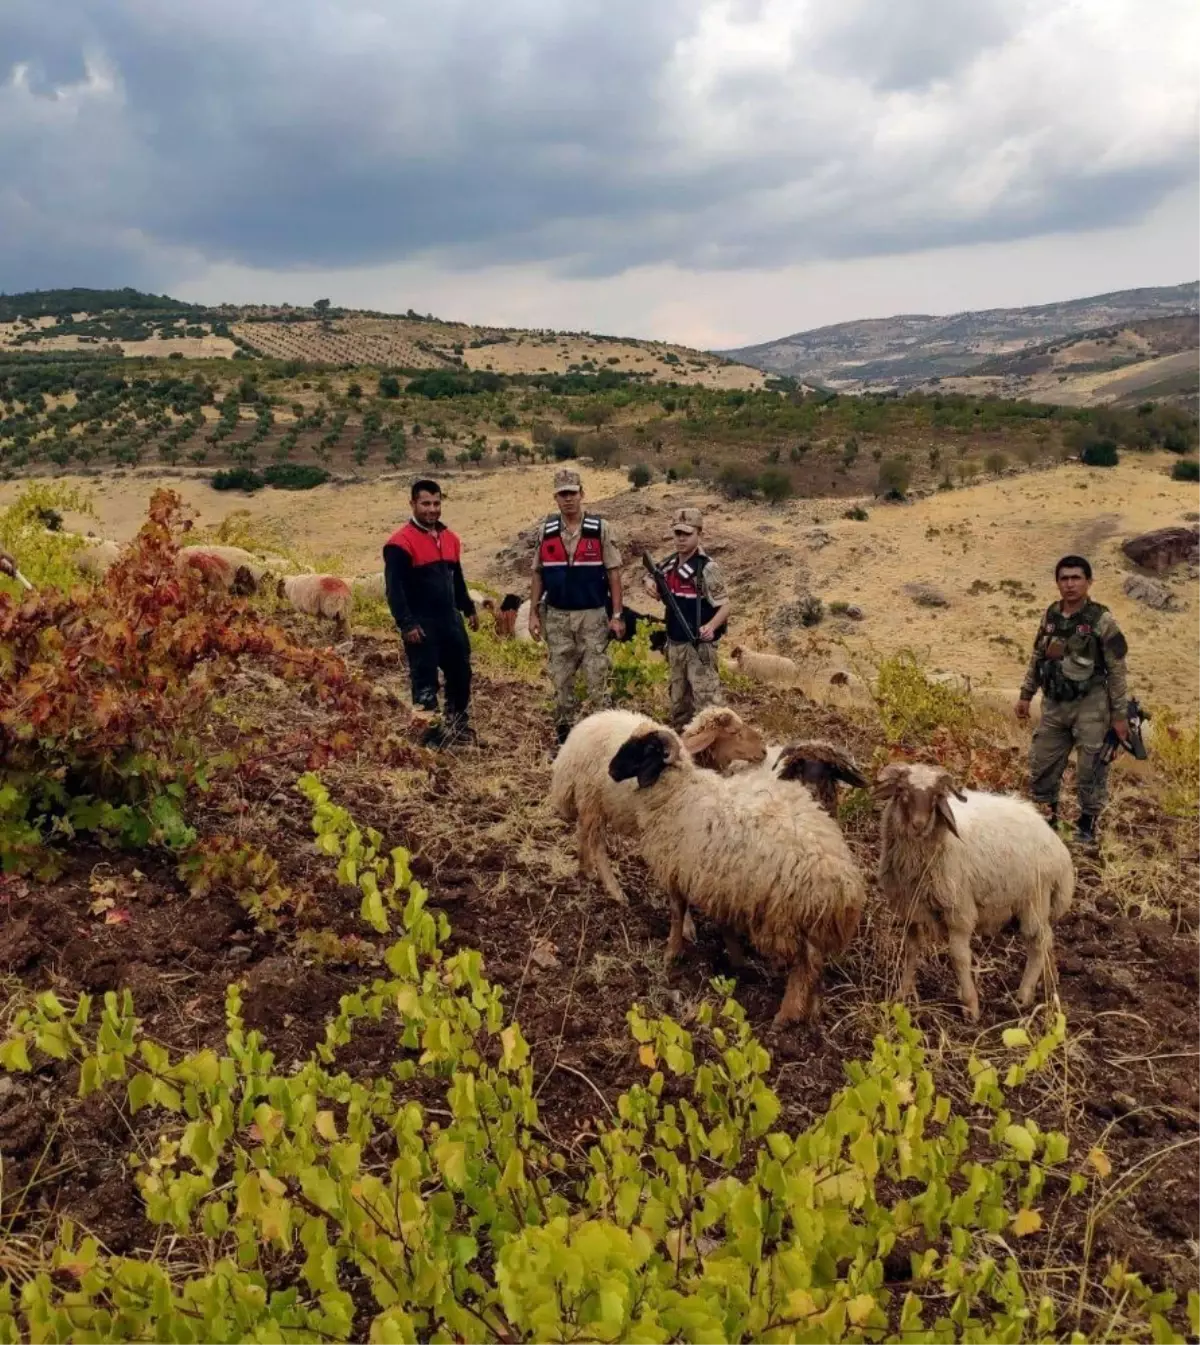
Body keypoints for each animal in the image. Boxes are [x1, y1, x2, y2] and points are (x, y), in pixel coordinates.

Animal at [608, 726, 860, 1016]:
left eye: (648, 749)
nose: (611, 770)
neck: (678, 791)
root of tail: (844, 886)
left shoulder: (678, 869)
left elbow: (677, 912)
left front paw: (671, 952)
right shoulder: (722, 883)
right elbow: (724, 925)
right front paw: (737, 962)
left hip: (785, 918)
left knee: (804, 967)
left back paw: (785, 1015)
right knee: (815, 967)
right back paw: (814, 1008)